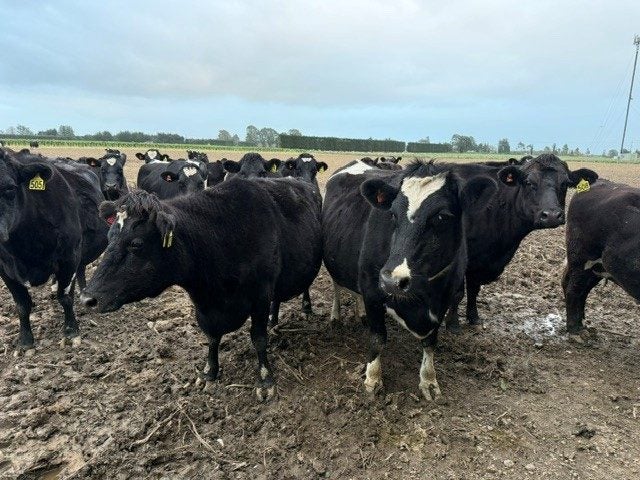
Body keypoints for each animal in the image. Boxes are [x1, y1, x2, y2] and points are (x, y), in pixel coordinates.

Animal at [0, 149, 108, 351]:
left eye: (9, 188)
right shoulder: (5, 268)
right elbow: (22, 305)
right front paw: (25, 341)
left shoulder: (69, 257)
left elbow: (64, 297)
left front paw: (71, 331)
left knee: (80, 271)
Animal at [81, 178, 322, 401]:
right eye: (109, 238)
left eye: (136, 244)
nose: (87, 299)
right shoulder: (205, 307)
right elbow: (212, 337)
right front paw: (208, 373)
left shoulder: (260, 295)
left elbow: (258, 338)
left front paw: (265, 381)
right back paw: (274, 319)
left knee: (305, 287)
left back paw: (306, 308)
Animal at [323, 160, 496, 401]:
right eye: (393, 215)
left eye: (441, 216)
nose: (391, 280)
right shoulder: (372, 290)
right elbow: (378, 338)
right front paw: (373, 380)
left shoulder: (446, 297)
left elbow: (431, 343)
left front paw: (429, 381)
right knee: (337, 287)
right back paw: (335, 316)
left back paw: (360, 315)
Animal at [422, 154, 598, 330]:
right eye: (528, 182)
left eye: (565, 183)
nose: (552, 215)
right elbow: (457, 293)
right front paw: (453, 324)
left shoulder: (480, 259)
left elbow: (474, 288)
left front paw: (473, 317)